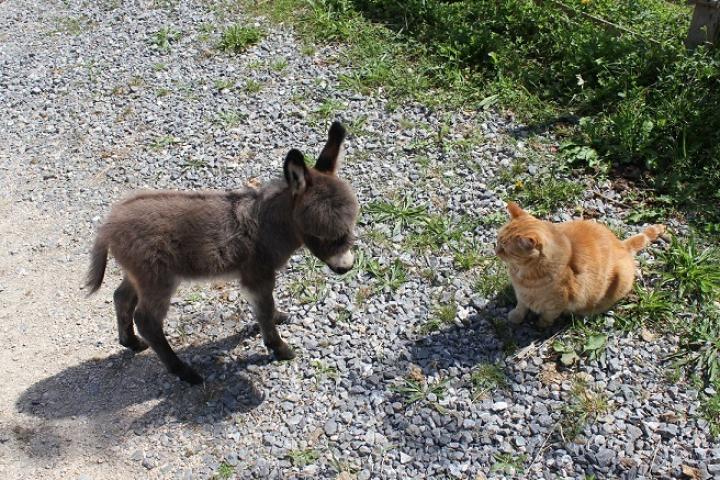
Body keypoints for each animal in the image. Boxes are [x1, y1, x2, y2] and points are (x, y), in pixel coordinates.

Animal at [86, 122, 358, 384]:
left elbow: (266, 309)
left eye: (349, 229)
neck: (269, 225)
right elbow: (264, 311)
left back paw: (132, 343)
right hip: (158, 279)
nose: (346, 268)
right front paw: (279, 349)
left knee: (121, 297)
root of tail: (109, 224)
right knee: (147, 321)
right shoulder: (257, 275)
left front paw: (278, 317)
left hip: (138, 274)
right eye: (322, 236)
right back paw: (185, 373)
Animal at [496, 202, 664, 326]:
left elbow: (549, 315)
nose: (496, 250)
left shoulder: (557, 303)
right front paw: (516, 316)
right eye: (497, 240)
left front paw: (542, 324)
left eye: (506, 250)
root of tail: (621, 245)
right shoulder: (521, 294)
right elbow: (521, 306)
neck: (524, 275)